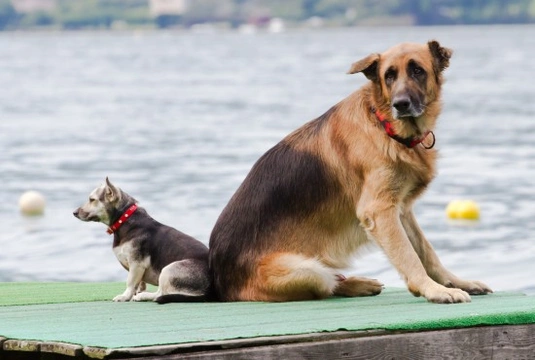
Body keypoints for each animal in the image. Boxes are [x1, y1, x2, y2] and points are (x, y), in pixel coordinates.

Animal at [73, 179, 211, 302]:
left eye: (92, 200)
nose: (74, 212)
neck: (124, 219)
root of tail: (211, 291)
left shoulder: (136, 264)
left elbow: (130, 282)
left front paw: (125, 296)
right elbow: (139, 283)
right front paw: (136, 292)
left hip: (168, 270)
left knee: (160, 294)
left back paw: (143, 296)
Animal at [207, 40, 492, 304]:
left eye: (417, 70)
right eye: (389, 76)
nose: (401, 104)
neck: (383, 124)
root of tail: (219, 283)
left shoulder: (401, 210)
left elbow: (426, 251)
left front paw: (454, 282)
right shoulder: (379, 211)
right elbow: (409, 255)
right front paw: (433, 290)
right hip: (306, 269)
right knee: (326, 286)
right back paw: (354, 285)